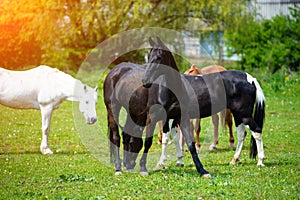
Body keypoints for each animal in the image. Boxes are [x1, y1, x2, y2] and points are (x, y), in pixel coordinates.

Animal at [142, 38, 266, 174]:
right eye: (148, 56)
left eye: (159, 57)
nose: (145, 81)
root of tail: (251, 79)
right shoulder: (171, 118)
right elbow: (171, 138)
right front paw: (175, 161)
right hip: (237, 114)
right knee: (241, 134)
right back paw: (234, 159)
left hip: (244, 114)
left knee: (257, 131)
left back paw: (260, 161)